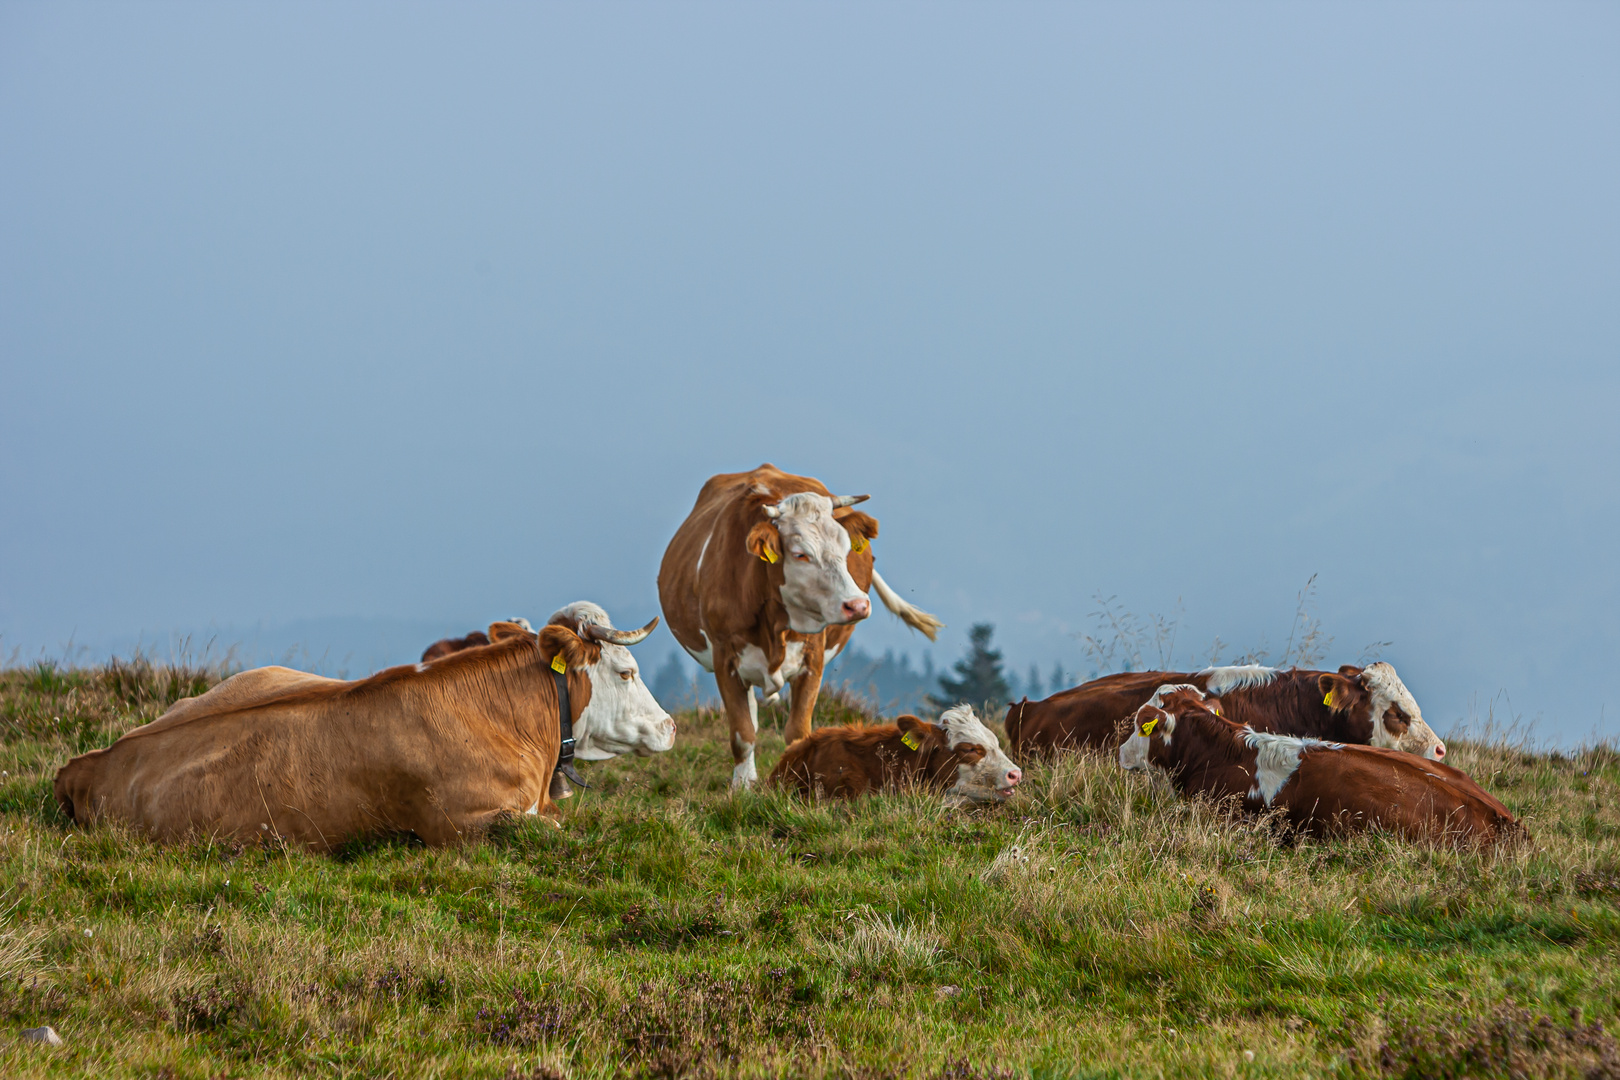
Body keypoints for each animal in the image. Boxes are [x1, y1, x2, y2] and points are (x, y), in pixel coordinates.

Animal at [657, 463, 946, 786]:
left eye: (847, 547)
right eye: (800, 554)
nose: (857, 604)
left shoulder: (813, 657)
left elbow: (797, 732)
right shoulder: (725, 658)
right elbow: (743, 733)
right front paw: (742, 787)